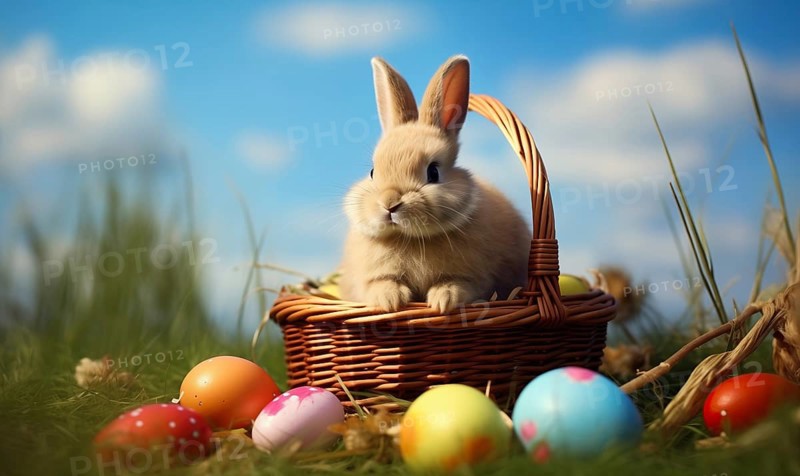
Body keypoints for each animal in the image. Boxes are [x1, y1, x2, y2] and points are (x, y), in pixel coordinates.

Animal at [339, 55, 531, 313]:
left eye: (433, 172)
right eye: (372, 172)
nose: (390, 203)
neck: (408, 238)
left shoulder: (472, 278)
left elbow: (458, 284)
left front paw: (444, 301)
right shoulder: (371, 277)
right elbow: (381, 283)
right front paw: (389, 301)